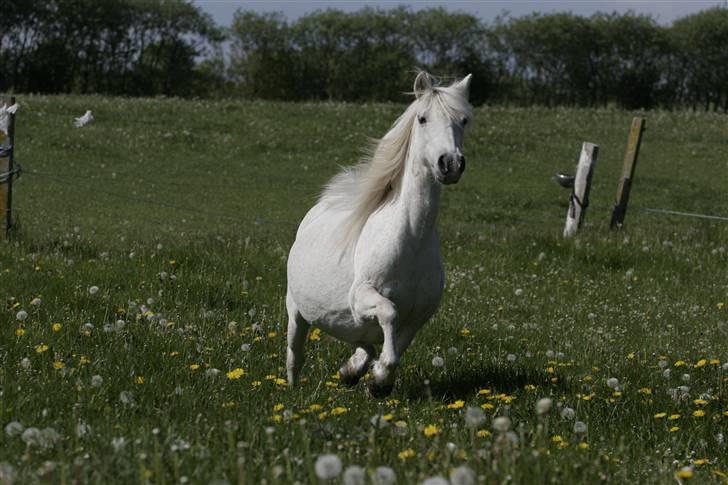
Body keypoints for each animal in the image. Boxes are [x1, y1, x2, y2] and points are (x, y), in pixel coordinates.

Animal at [284, 73, 472, 398]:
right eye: (422, 118)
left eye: (463, 120)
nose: (450, 164)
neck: (411, 241)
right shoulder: (362, 297)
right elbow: (389, 312)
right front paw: (380, 379)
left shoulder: (419, 314)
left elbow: (395, 343)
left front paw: (373, 378)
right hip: (295, 310)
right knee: (296, 351)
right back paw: (294, 388)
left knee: (364, 344)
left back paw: (351, 370)